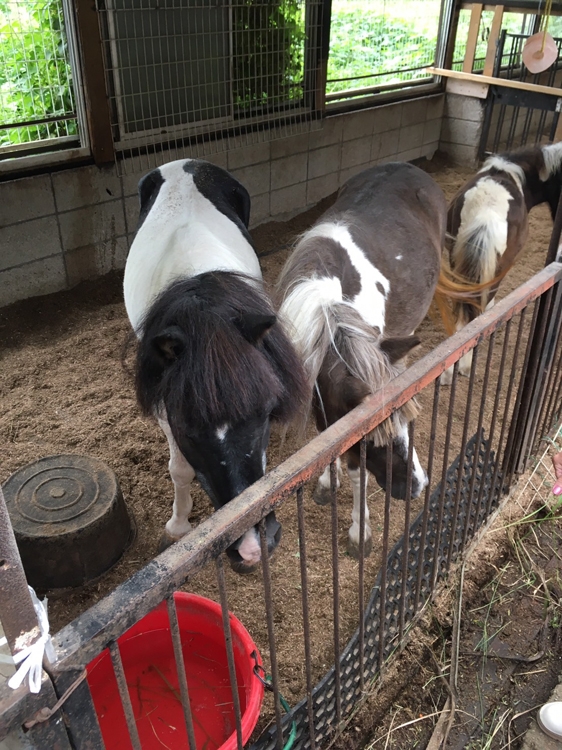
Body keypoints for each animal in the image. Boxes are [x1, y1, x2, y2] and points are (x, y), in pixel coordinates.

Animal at [123, 157, 306, 568]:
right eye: (190, 431)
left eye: (264, 416)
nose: (253, 546)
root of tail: (184, 162)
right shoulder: (165, 407)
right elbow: (180, 469)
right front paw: (177, 525)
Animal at [276, 163, 446, 560]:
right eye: (378, 437)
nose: (418, 486)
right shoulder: (323, 398)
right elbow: (332, 448)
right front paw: (329, 482)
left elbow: (357, 471)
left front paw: (359, 531)